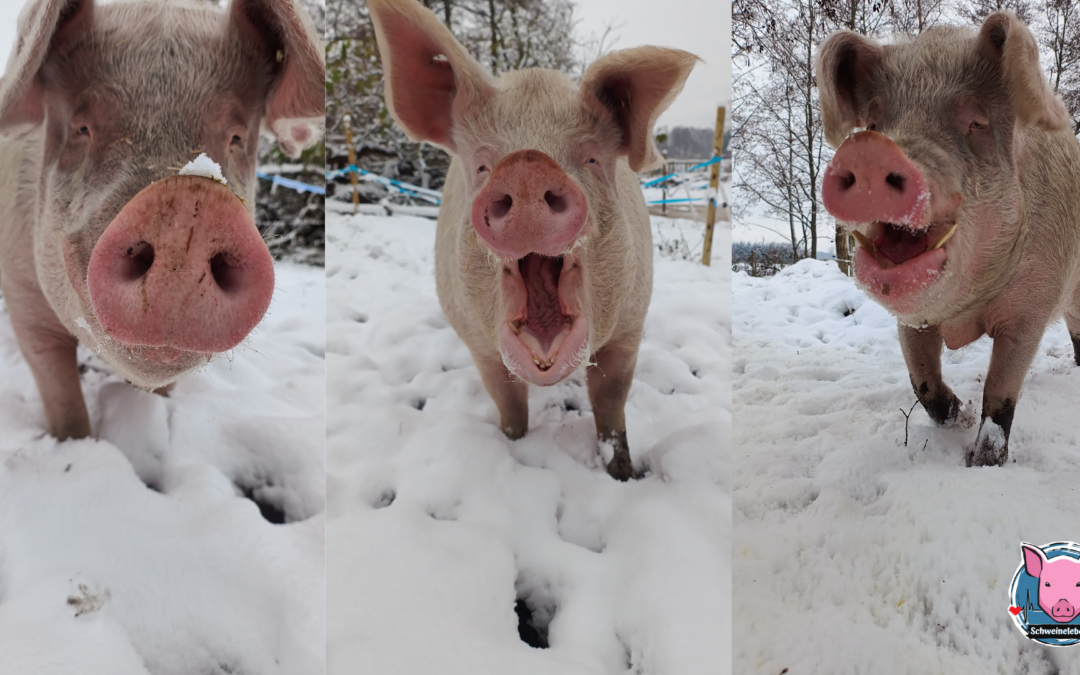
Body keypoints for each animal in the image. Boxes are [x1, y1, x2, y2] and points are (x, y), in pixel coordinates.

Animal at [0, 0, 324, 440]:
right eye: (82, 127)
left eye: (236, 137)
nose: (191, 202)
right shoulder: (23, 295)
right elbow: (62, 400)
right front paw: (76, 440)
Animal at [367, 0, 695, 479]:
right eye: (483, 165)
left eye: (591, 158)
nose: (526, 166)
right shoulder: (480, 345)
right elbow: (508, 404)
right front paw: (513, 443)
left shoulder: (631, 325)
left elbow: (611, 405)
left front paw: (622, 474)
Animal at [812, 10, 1080, 466]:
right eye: (872, 123)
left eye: (976, 122)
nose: (870, 152)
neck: (964, 310)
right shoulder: (912, 320)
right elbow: (922, 381)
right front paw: (958, 414)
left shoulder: (1032, 307)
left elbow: (1001, 393)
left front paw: (983, 461)